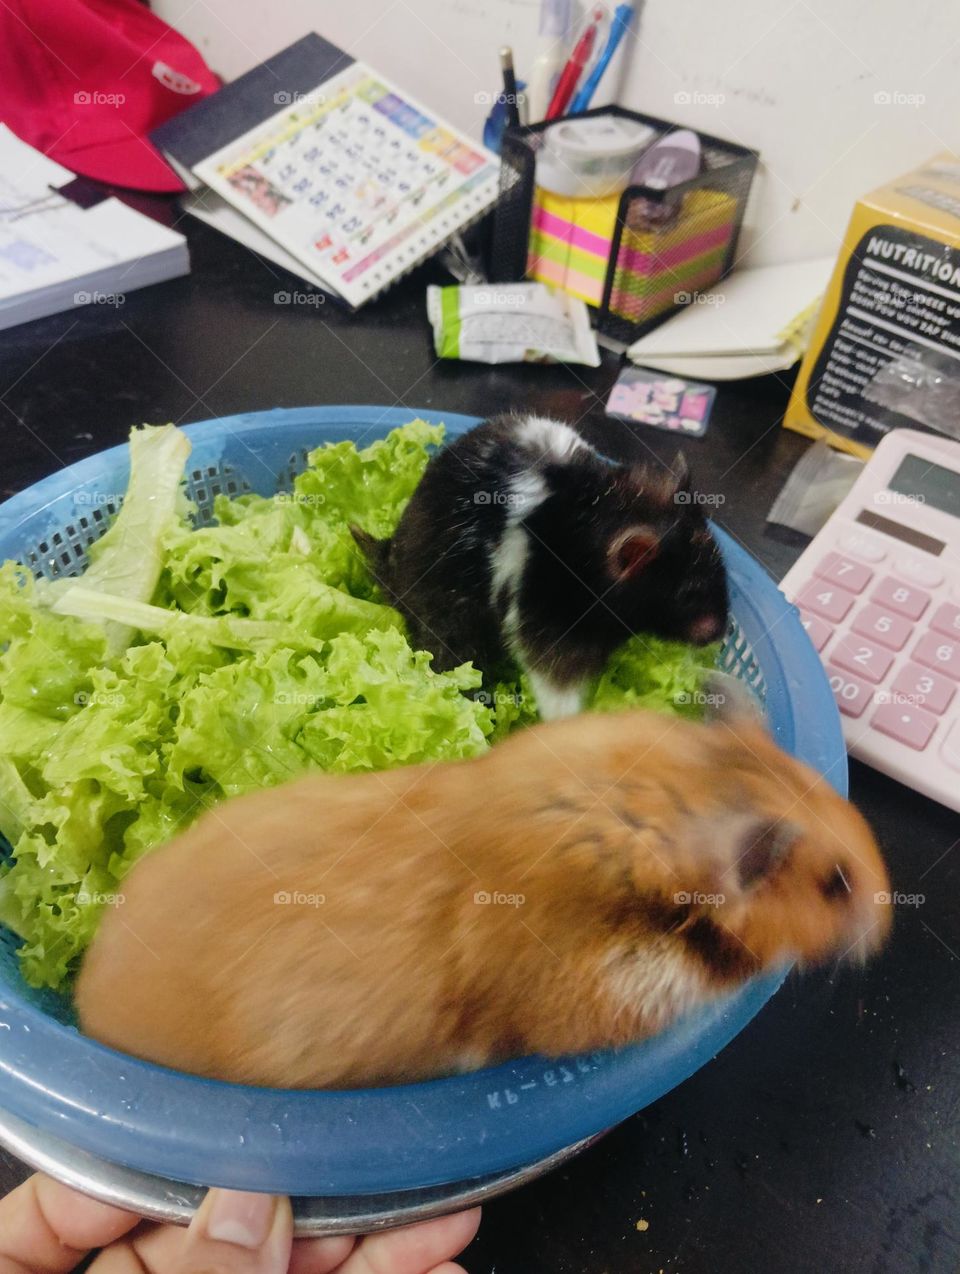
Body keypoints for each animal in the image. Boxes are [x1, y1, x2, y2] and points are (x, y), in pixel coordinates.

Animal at [351, 415, 728, 720]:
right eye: (688, 594)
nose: (720, 634)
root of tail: (391, 563)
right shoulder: (546, 627)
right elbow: (558, 691)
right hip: (449, 620)